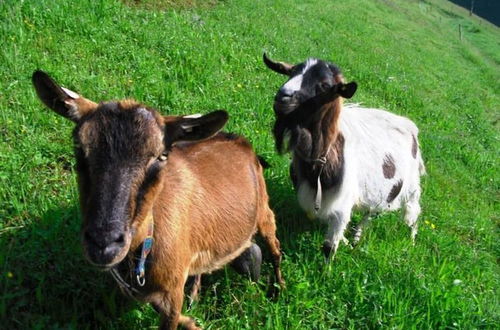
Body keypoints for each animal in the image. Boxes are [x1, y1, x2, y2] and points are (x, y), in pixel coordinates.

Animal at [31, 71, 284, 328]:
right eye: (78, 146)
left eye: (161, 156)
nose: (104, 244)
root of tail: (240, 141)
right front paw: (192, 320)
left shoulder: (172, 293)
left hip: (264, 213)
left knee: (275, 248)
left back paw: (279, 290)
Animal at [264, 54, 424, 260]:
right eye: (291, 72)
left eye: (324, 85)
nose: (283, 97)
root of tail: (411, 127)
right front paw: (346, 241)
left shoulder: (342, 203)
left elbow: (329, 247)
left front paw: (327, 266)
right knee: (369, 213)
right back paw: (355, 238)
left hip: (411, 187)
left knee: (412, 213)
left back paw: (411, 242)